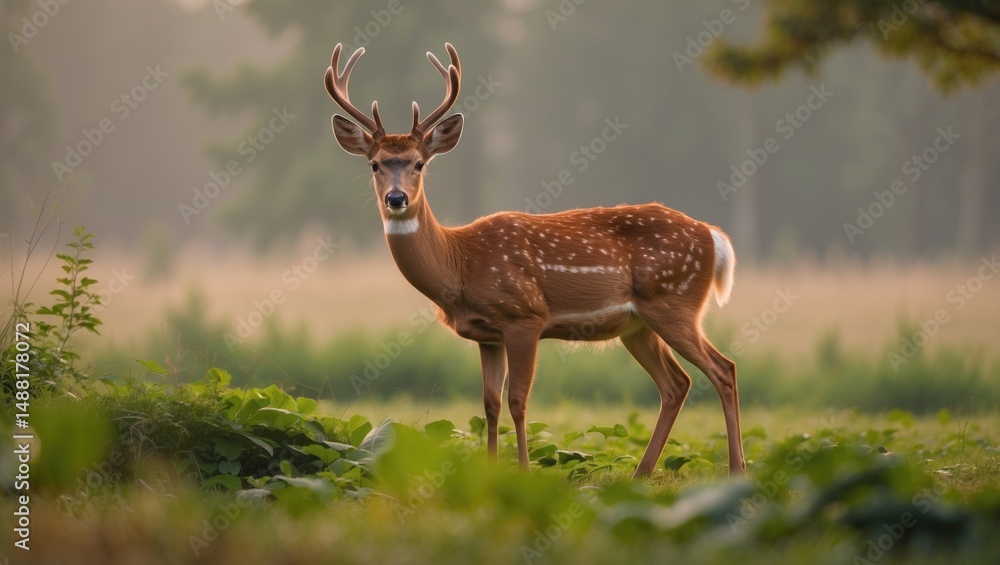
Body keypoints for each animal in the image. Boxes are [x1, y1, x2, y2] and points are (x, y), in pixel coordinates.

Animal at [323, 43, 745, 477]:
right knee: (676, 384)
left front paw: (524, 473)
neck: (461, 265)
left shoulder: (524, 316)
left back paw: (736, 469)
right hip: (638, 325)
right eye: (375, 164)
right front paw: (491, 471)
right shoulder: (486, 335)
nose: (396, 198)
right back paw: (641, 473)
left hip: (674, 302)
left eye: (419, 163)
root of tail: (714, 237)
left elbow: (518, 401)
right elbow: (489, 405)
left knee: (723, 369)